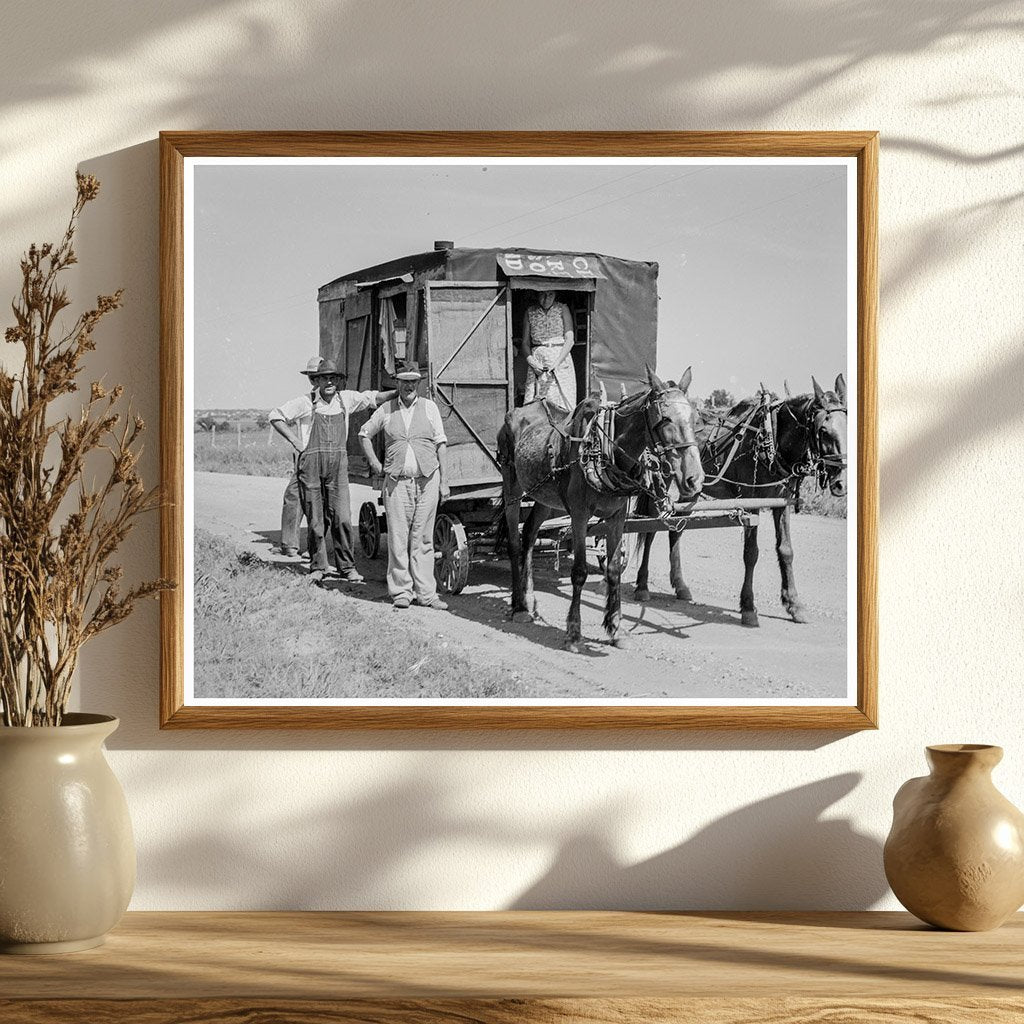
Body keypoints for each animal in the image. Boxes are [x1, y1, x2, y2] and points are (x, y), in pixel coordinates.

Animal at [499, 370, 708, 647]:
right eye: (665, 419)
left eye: (695, 419)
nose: (694, 479)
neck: (605, 451)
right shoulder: (579, 515)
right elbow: (579, 572)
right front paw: (573, 632)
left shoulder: (617, 516)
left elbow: (613, 569)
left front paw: (615, 628)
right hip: (511, 486)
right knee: (514, 542)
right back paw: (519, 606)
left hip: (545, 497)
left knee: (530, 535)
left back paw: (529, 598)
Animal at [630, 372, 847, 626]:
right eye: (823, 431)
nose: (841, 483)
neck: (771, 438)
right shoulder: (750, 502)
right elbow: (751, 553)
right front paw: (748, 607)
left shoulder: (780, 503)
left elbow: (786, 550)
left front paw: (794, 605)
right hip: (662, 482)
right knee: (650, 528)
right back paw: (642, 586)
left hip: (690, 488)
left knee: (676, 528)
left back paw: (680, 586)